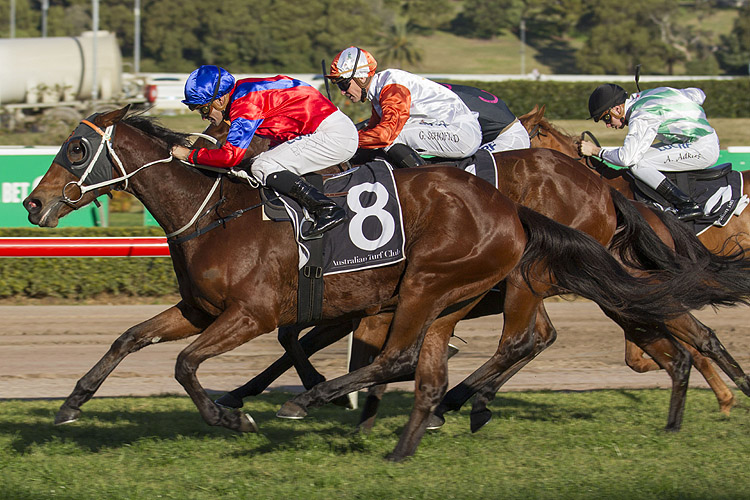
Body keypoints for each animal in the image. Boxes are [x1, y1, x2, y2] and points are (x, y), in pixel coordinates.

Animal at [23, 106, 704, 460]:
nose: (33, 203)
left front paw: (234, 414)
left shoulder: (253, 314)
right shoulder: (201, 308)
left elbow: (189, 364)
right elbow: (130, 339)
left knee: (510, 340)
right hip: (455, 291)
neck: (218, 211)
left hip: (461, 282)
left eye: (77, 147)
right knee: (464, 351)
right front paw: (71, 403)